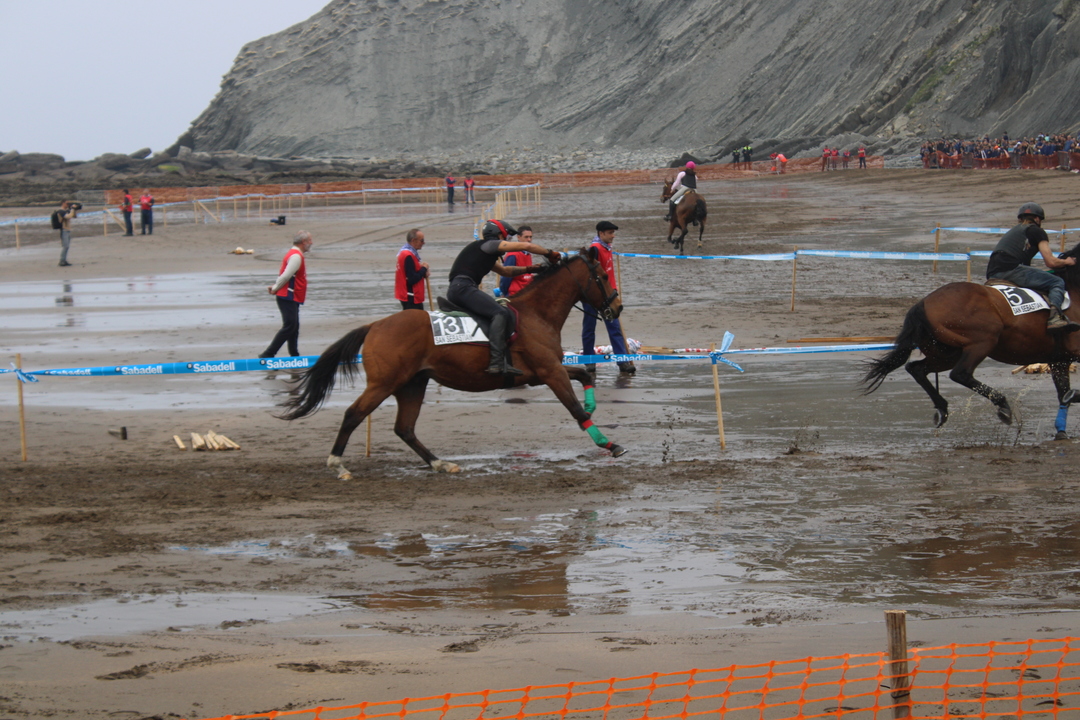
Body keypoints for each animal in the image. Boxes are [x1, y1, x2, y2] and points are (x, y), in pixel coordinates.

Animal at [279, 248, 627, 479]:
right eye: (603, 276)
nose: (617, 308)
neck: (535, 314)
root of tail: (375, 326)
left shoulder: (541, 372)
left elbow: (584, 375)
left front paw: (593, 406)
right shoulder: (549, 372)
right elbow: (575, 408)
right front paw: (608, 443)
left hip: (412, 384)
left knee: (405, 428)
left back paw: (439, 463)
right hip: (384, 384)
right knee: (354, 414)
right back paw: (338, 464)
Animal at [862, 242, 1080, 438]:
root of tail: (922, 304)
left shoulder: (1059, 360)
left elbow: (1063, 393)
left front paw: (1061, 430)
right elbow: (1067, 393)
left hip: (945, 353)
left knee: (917, 369)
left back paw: (942, 408)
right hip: (982, 342)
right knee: (961, 374)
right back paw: (1002, 405)